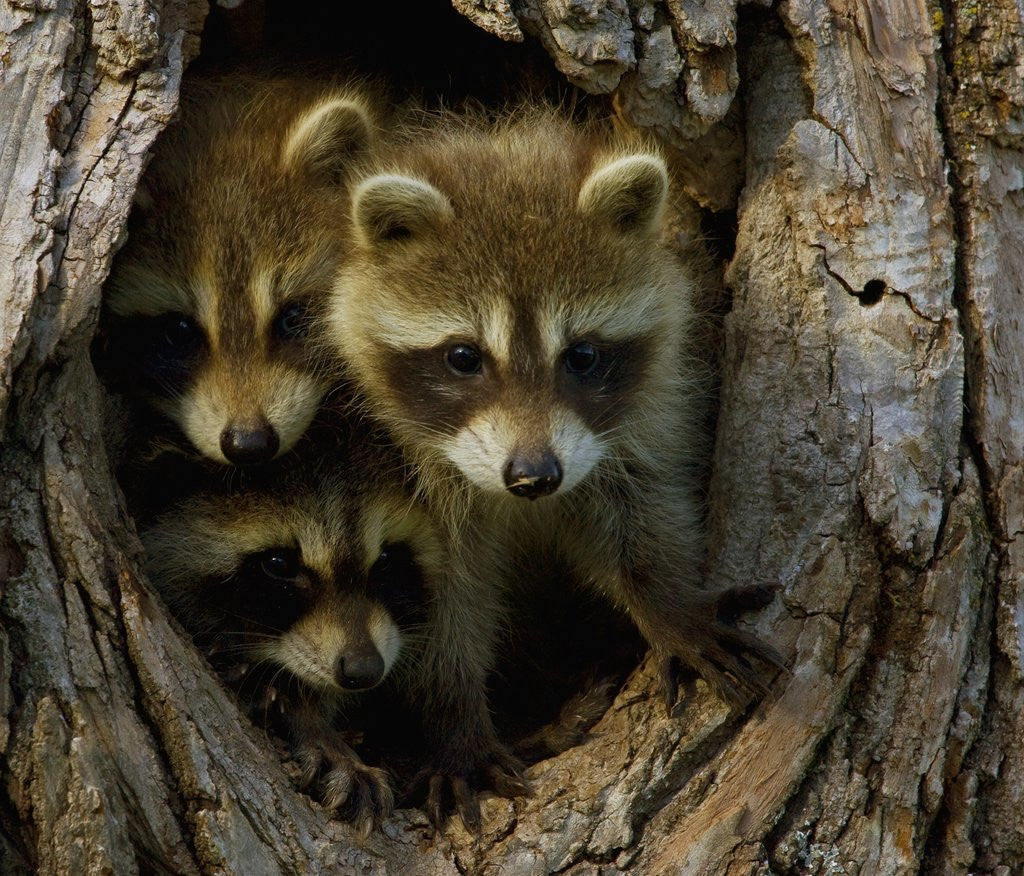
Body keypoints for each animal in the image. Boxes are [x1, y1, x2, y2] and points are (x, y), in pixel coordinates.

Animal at [329, 110, 782, 827]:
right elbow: (437, 597)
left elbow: (639, 512)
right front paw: (453, 717)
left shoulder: (652, 407)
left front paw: (668, 603)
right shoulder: (406, 486)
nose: (534, 475)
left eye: (583, 355)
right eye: (464, 357)